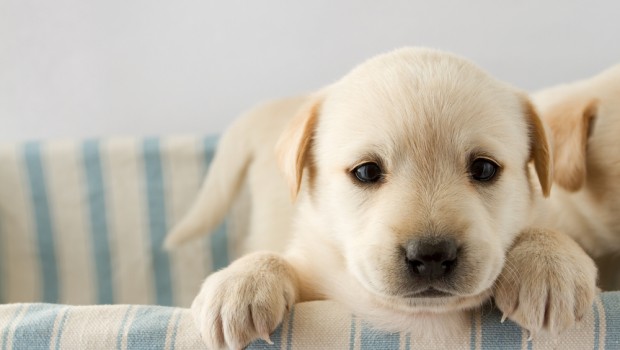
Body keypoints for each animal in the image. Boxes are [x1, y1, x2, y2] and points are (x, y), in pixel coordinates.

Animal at [165, 47, 596, 348]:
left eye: (485, 169)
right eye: (367, 172)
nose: (431, 255)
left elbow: (545, 230)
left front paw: (549, 266)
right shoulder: (315, 265)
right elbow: (283, 259)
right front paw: (240, 282)